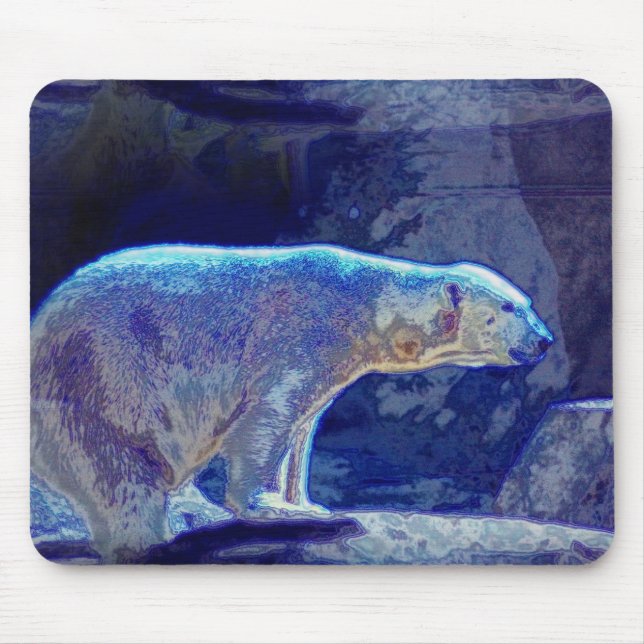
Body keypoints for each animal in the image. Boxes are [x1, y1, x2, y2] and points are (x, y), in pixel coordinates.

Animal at [31, 244, 553, 562]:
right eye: (509, 308)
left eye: (528, 301)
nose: (545, 340)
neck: (364, 304)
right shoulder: (302, 334)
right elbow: (269, 416)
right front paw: (279, 509)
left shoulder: (334, 363)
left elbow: (303, 427)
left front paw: (302, 499)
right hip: (104, 379)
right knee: (119, 473)